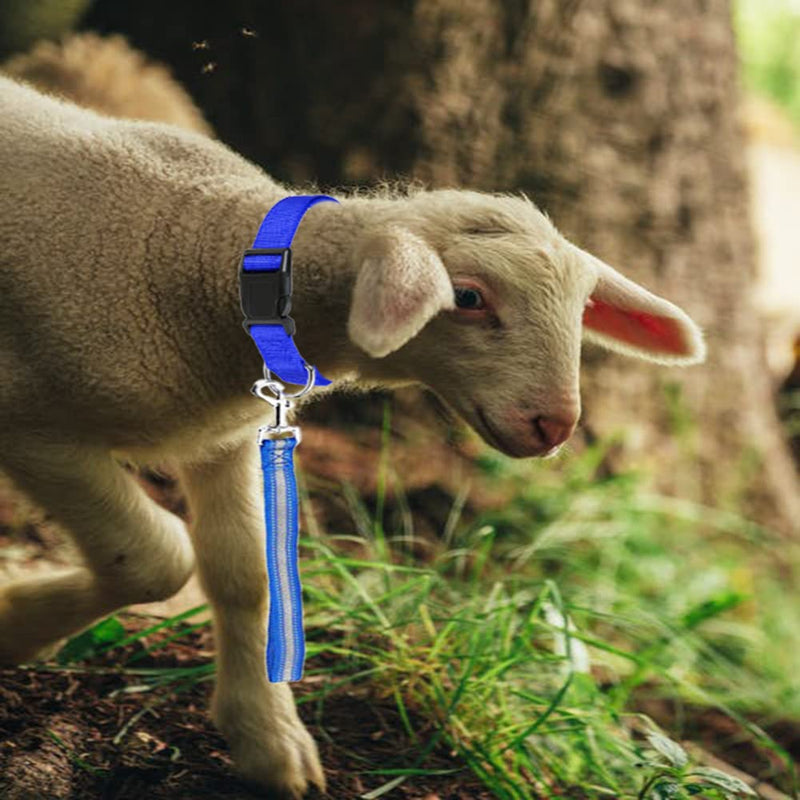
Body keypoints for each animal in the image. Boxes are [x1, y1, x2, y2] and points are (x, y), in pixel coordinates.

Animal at [0, 74, 705, 798]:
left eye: (582, 309)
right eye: (469, 298)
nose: (555, 424)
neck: (202, 250)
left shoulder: (225, 439)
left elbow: (246, 574)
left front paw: (267, 738)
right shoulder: (33, 423)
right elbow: (153, 558)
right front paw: (14, 625)